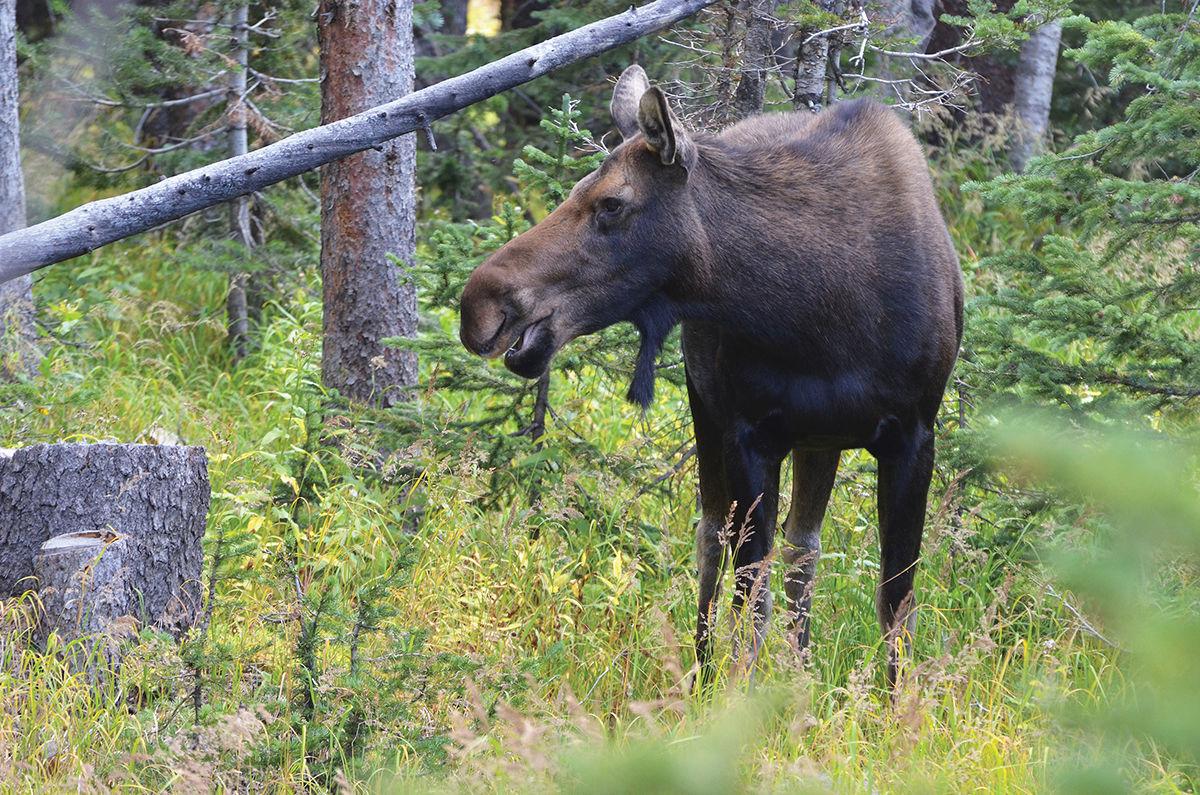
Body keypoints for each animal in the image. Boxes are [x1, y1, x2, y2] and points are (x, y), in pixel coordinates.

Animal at [459, 65, 963, 687]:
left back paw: (799, 672)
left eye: (610, 203)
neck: (825, 315)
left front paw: (895, 705)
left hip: (819, 437)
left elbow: (896, 602)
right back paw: (702, 674)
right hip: (712, 407)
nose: (479, 304)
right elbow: (751, 596)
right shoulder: (749, 432)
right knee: (713, 538)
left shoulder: (914, 435)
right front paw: (738, 695)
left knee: (802, 548)